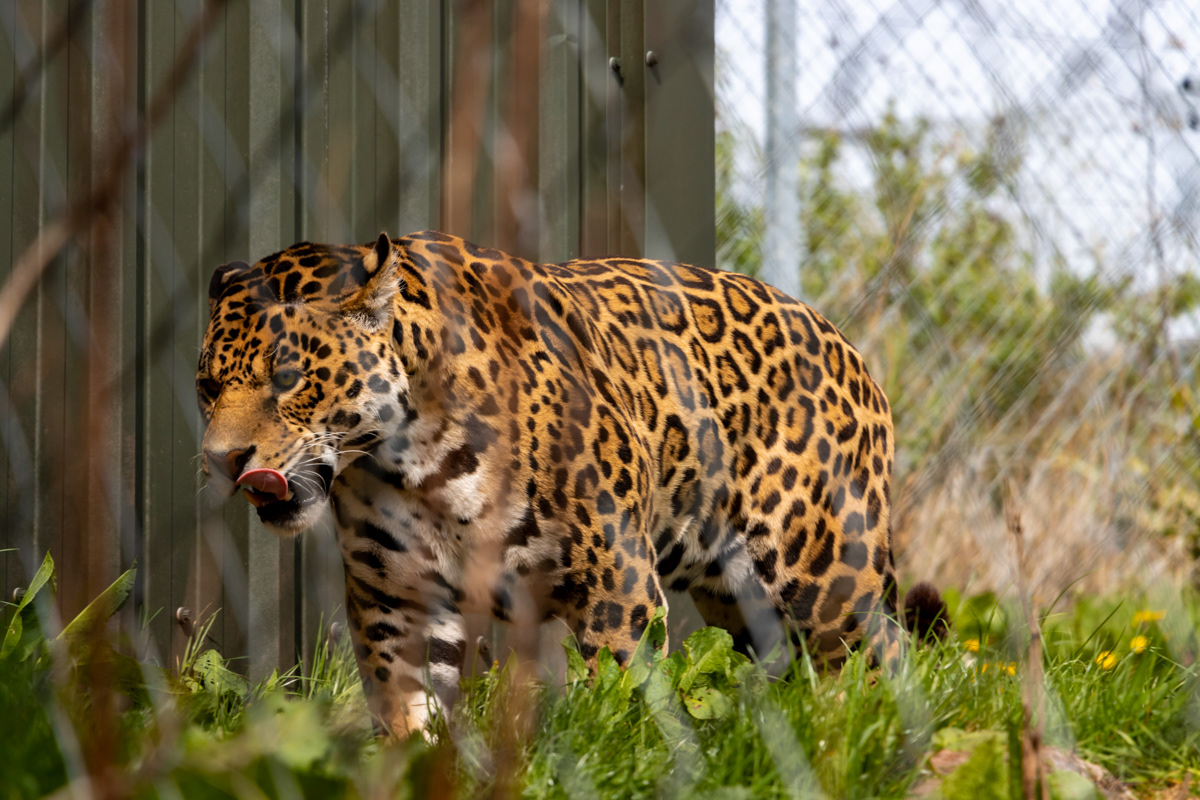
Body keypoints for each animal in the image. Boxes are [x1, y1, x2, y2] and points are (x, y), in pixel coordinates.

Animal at [198, 230, 943, 735]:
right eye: (207, 386)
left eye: (288, 378)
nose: (222, 460)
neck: (407, 462)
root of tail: (846, 346)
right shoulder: (397, 601)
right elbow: (408, 715)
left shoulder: (617, 586)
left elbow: (619, 702)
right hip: (741, 601)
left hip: (824, 575)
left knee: (881, 661)